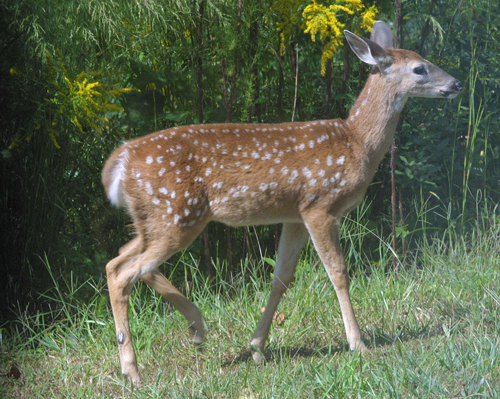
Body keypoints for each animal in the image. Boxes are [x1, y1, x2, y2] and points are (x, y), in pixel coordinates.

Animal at [100, 21, 460, 384]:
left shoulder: (294, 215)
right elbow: (338, 271)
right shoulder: (320, 205)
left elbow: (282, 277)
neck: (357, 143)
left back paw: (196, 328)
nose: (456, 83)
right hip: (178, 213)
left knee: (119, 259)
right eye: (419, 68)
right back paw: (133, 370)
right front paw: (358, 344)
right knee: (124, 272)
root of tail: (120, 161)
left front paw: (257, 348)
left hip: (155, 219)